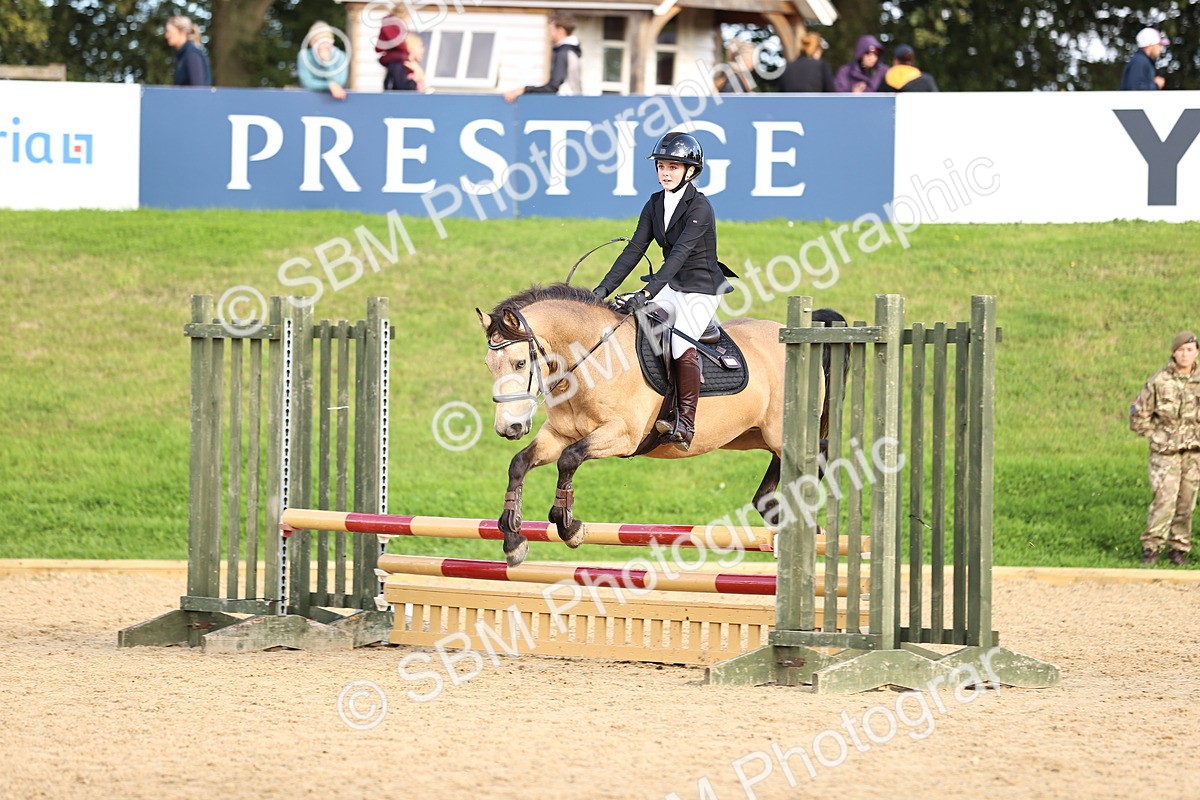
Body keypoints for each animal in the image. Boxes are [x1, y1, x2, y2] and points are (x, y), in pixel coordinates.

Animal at [476, 283, 841, 567]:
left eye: (519, 363)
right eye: (489, 365)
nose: (508, 428)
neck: (591, 362)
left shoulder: (622, 435)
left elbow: (570, 459)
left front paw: (569, 526)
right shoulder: (559, 434)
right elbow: (519, 463)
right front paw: (513, 540)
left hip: (780, 431)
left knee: (819, 451)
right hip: (749, 435)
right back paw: (771, 506)